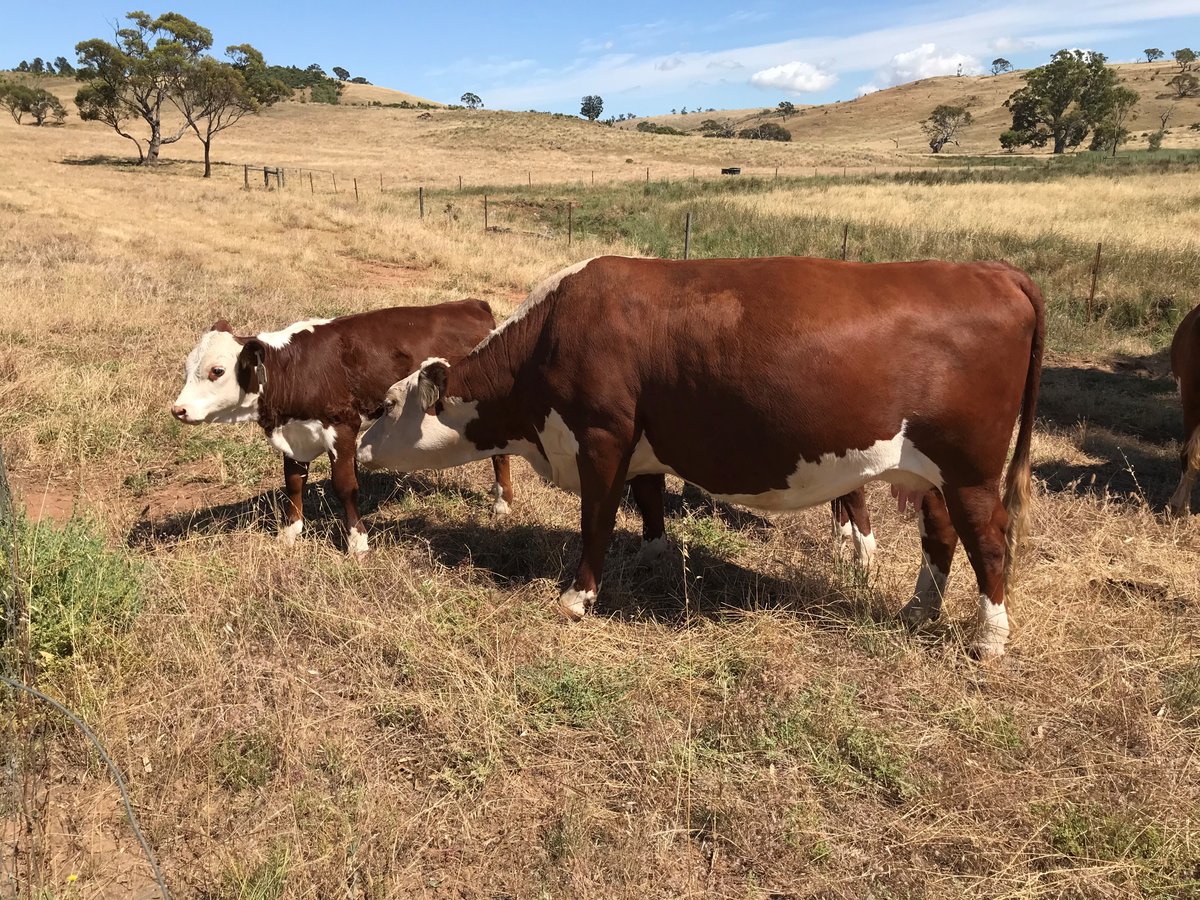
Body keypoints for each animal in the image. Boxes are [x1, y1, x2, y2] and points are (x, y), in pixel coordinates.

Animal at [170, 301, 515, 553]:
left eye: (217, 370)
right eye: (187, 367)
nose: (178, 409)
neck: (294, 369)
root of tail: (472, 305)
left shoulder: (343, 427)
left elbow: (345, 486)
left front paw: (357, 542)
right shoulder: (294, 435)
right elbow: (293, 483)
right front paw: (289, 534)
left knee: (500, 453)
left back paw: (502, 503)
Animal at [356, 256, 1043, 658]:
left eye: (386, 406)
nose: (358, 448)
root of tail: (992, 271)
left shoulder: (601, 436)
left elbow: (596, 520)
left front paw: (577, 597)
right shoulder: (641, 444)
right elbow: (649, 499)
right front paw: (655, 556)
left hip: (970, 468)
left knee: (987, 538)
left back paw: (989, 638)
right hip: (929, 471)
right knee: (941, 532)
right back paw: (918, 609)